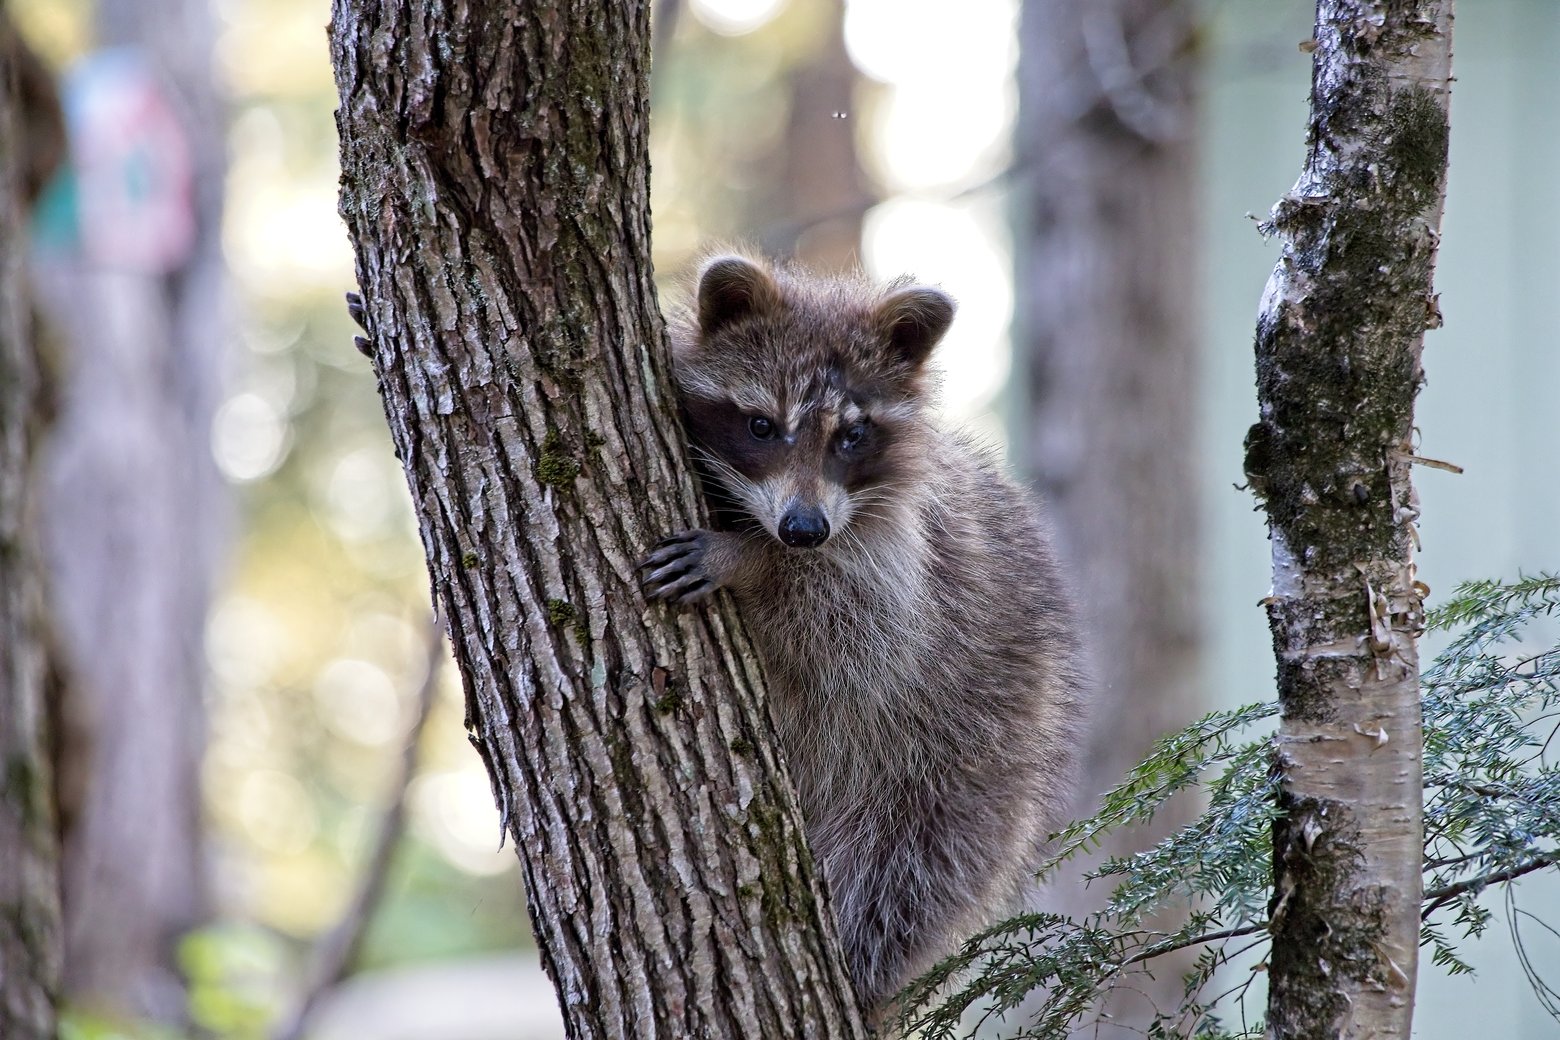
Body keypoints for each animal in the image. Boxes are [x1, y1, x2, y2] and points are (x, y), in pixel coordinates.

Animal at [640, 254, 1085, 1021]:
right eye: (762, 425)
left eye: (852, 436)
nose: (802, 531)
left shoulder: (909, 570)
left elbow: (852, 641)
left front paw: (750, 563)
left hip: (954, 779)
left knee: (896, 882)